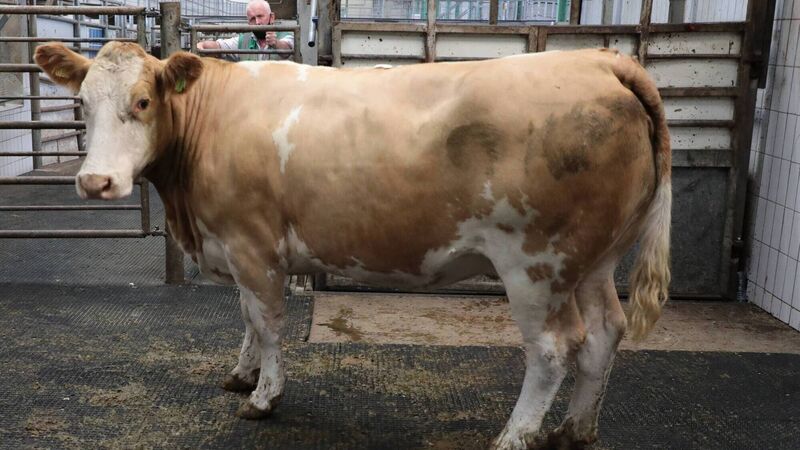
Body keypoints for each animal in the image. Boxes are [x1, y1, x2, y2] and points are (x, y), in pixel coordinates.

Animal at [35, 41, 671, 449]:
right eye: (82, 103)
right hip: (593, 261)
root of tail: (601, 60)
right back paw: (574, 431)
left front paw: (263, 397)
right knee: (605, 333)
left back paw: (515, 436)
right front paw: (242, 373)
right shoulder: (238, 250)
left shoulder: (251, 244)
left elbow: (267, 323)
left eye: (143, 101)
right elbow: (245, 316)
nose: (96, 182)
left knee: (553, 349)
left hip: (536, 263)